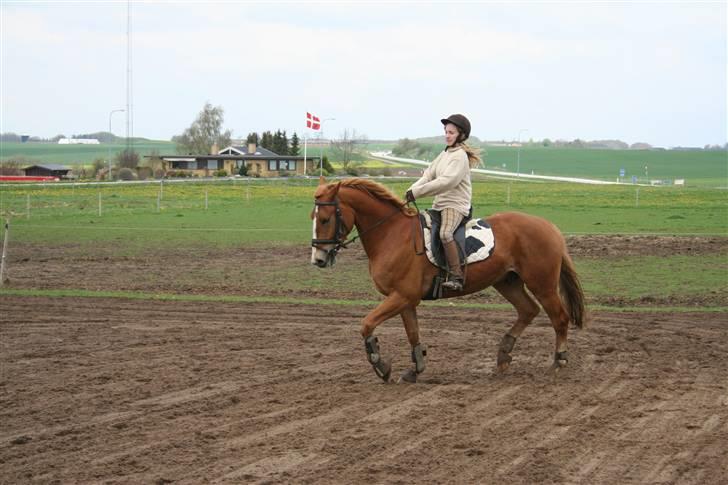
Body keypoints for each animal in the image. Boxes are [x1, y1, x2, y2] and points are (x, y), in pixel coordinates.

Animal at [310, 178, 584, 382]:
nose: (318, 259)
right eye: (313, 217)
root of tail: (549, 226)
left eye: (325, 219)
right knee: (528, 310)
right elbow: (413, 334)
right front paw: (415, 369)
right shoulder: (405, 300)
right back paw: (503, 355)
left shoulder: (401, 297)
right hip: (507, 282)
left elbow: (367, 324)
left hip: (542, 285)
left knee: (559, 318)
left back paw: (558, 361)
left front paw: (382, 366)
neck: (391, 234)